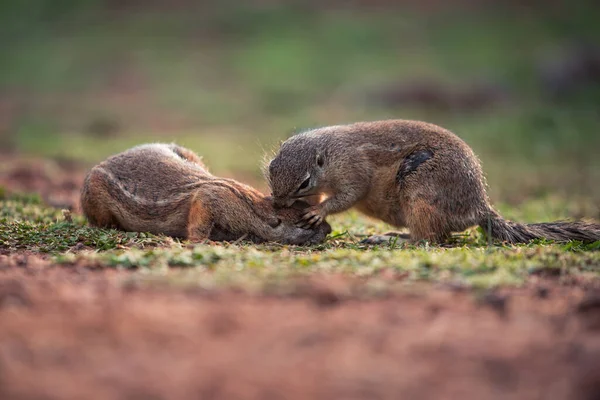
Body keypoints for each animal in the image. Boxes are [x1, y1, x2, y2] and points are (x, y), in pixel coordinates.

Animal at [79, 143, 330, 244]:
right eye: (304, 225)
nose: (328, 230)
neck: (256, 209)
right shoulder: (217, 198)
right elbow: (202, 205)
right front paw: (201, 241)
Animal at [268, 119, 600, 244]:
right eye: (270, 170)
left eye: (304, 182)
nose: (277, 203)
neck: (328, 152)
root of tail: (480, 208)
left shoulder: (353, 169)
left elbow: (348, 196)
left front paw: (319, 210)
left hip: (420, 196)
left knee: (426, 239)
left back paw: (389, 239)